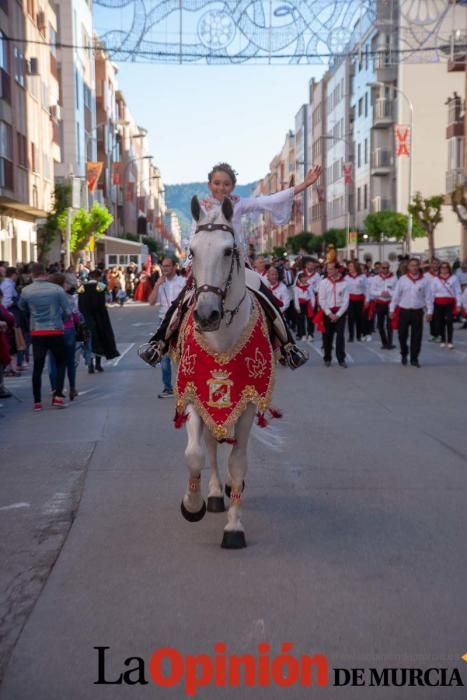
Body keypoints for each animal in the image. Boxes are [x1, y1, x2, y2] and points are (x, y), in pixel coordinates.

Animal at [176, 194, 272, 548]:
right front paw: (193, 505)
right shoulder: (193, 393)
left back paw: (229, 488)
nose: (207, 315)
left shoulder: (248, 401)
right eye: (191, 251)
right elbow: (195, 453)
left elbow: (239, 460)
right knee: (211, 442)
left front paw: (234, 527)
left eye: (229, 250)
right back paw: (216, 494)